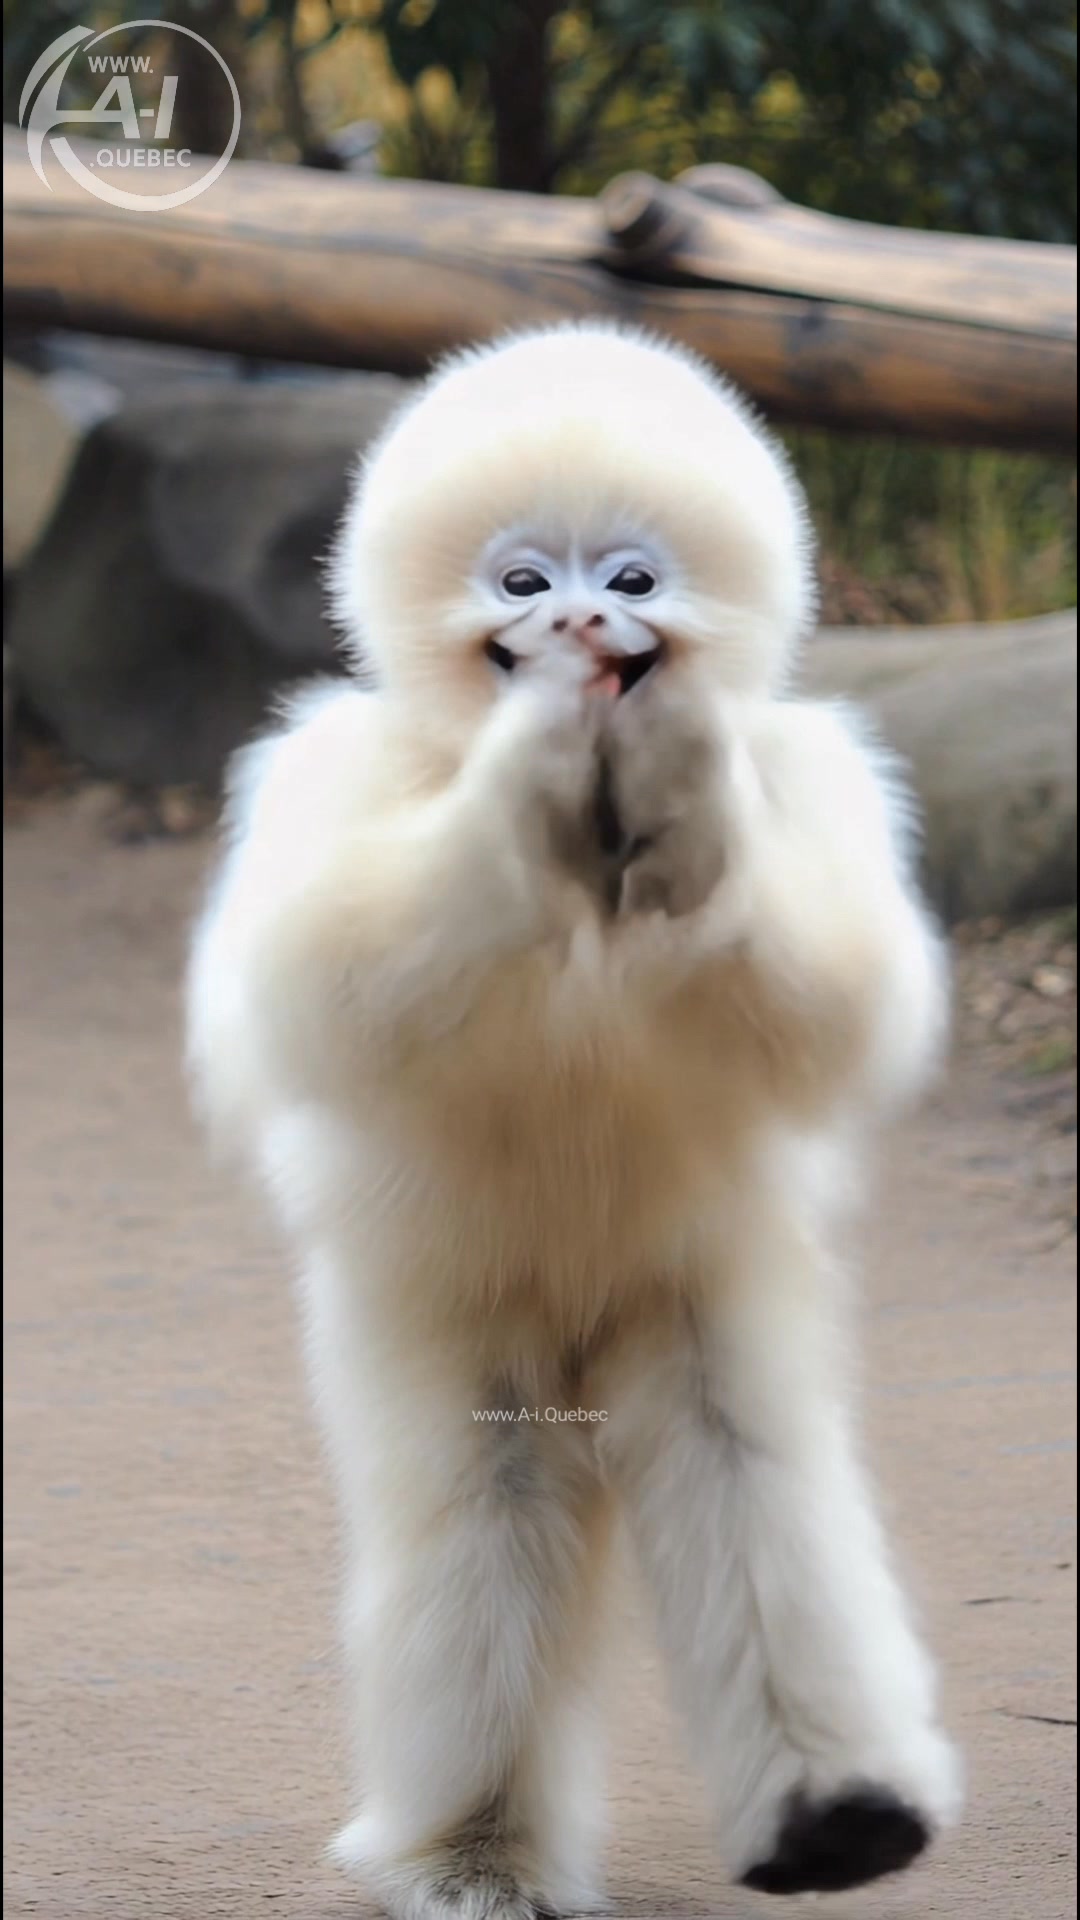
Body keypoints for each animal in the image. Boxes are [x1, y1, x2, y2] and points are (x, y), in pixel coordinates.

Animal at [186, 323, 962, 1919]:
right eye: (523, 581)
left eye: (636, 576)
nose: (586, 623)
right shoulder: (332, 773)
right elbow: (295, 988)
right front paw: (530, 766)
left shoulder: (811, 774)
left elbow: (854, 995)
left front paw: (675, 785)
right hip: (458, 1319)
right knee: (485, 1509)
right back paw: (472, 1852)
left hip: (694, 1292)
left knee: (750, 1468)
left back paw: (837, 1817)